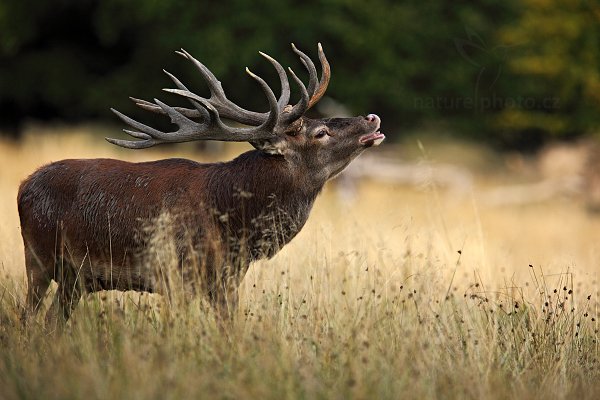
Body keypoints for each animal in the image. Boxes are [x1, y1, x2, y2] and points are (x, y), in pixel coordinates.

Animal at [19, 43, 384, 326]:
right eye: (320, 133)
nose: (372, 118)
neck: (235, 223)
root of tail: (24, 185)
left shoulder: (226, 280)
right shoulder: (176, 275)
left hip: (75, 280)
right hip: (37, 258)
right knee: (28, 319)